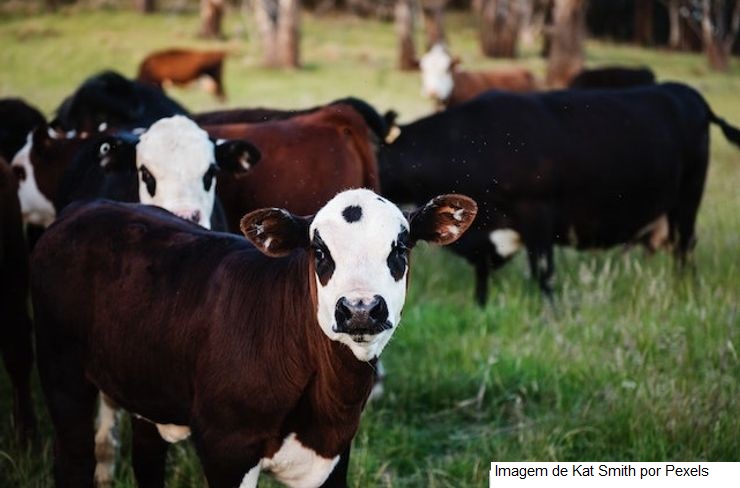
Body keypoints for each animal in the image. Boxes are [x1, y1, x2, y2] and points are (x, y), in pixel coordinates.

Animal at [31, 189, 477, 487]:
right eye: (319, 251)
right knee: (73, 458)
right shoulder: (226, 447)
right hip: (62, 374)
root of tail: (86, 206)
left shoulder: (334, 450)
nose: (360, 308)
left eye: (399, 248)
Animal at [379, 82, 740, 305]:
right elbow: (482, 274)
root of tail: (687, 93)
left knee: (684, 248)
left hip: (687, 200)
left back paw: (683, 288)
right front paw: (481, 307)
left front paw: (548, 315)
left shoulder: (538, 215)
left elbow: (544, 273)